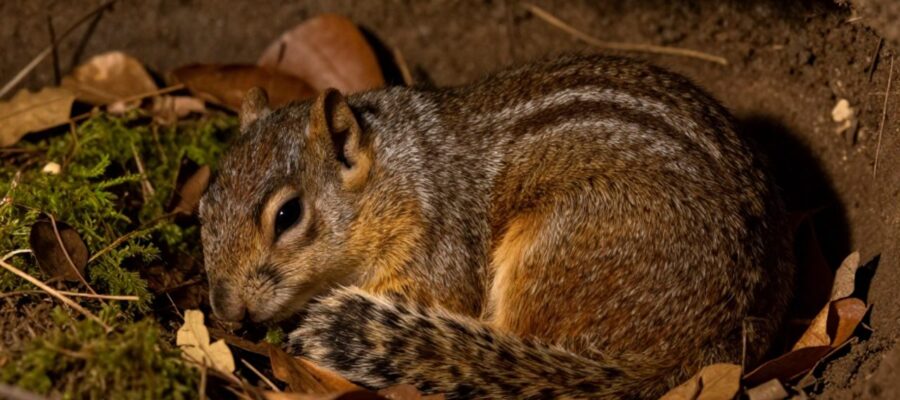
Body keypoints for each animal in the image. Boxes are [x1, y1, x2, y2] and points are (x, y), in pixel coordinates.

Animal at [199, 55, 795, 399]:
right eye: (204, 204)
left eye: (288, 215)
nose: (226, 311)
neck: (397, 175)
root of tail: (703, 340)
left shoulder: (437, 248)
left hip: (563, 250)